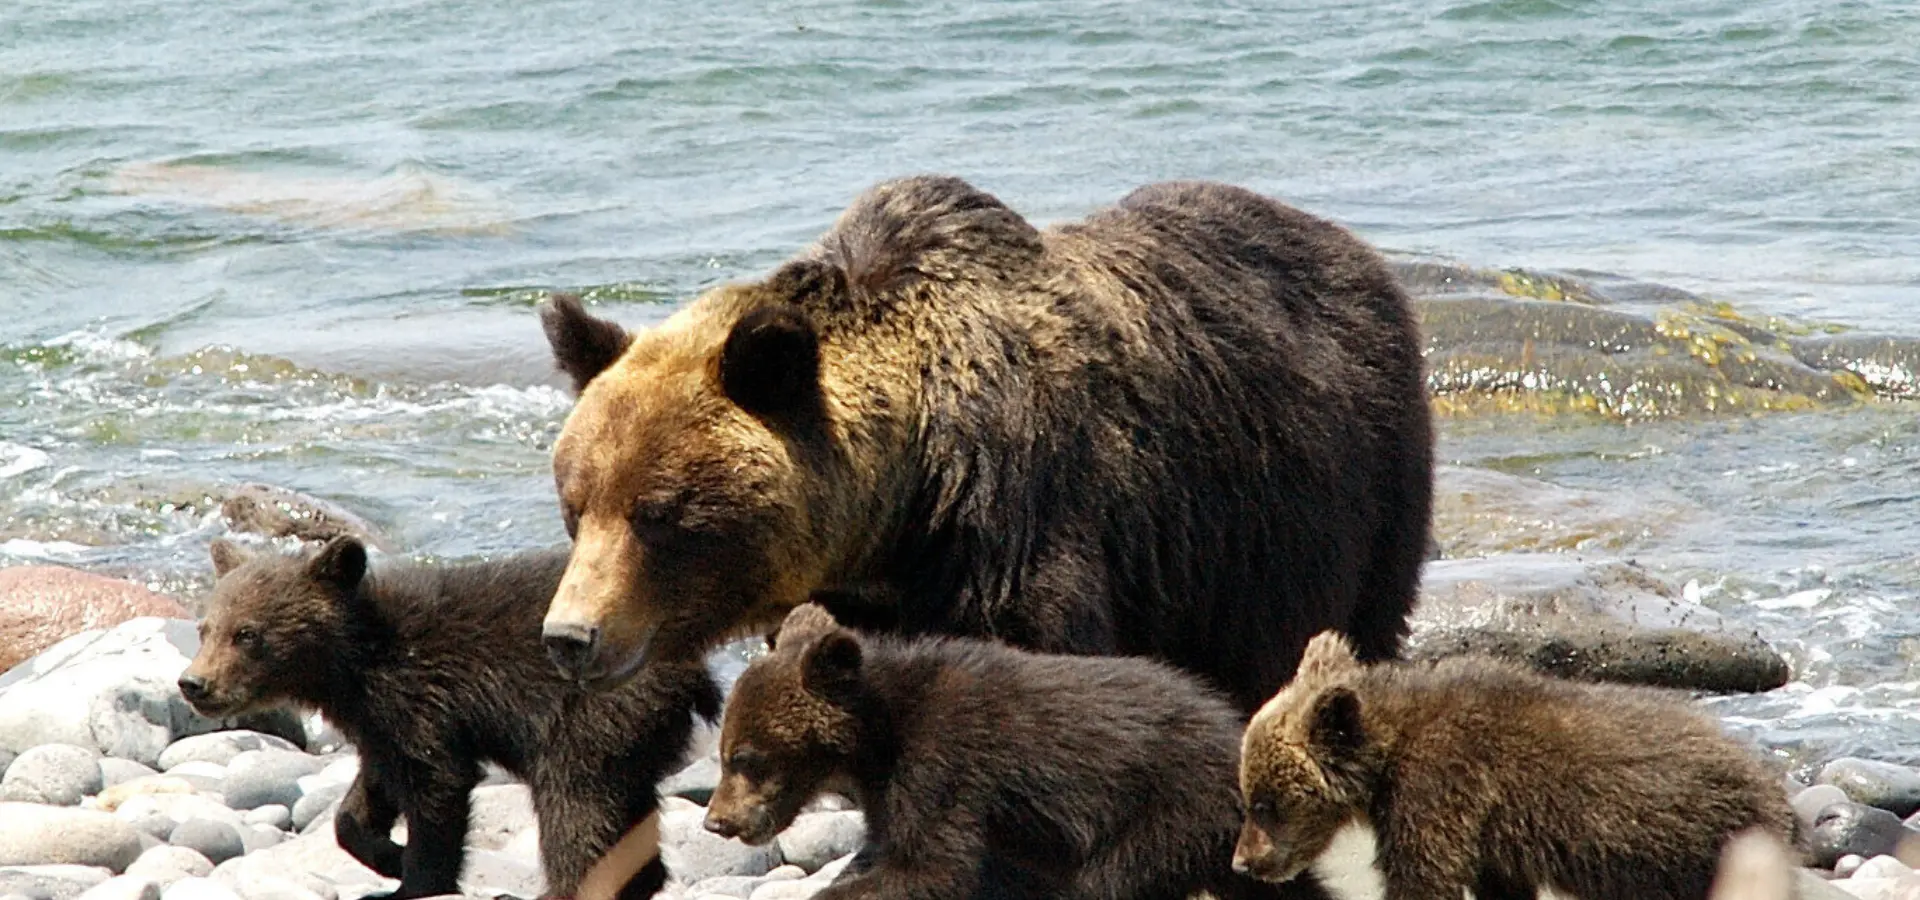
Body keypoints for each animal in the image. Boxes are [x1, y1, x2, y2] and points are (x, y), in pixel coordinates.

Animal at [176, 536, 721, 900]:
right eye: (206, 628)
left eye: (247, 634)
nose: (193, 683)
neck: (354, 664)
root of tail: (693, 670)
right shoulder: (381, 721)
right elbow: (370, 789)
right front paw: (384, 853)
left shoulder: (424, 698)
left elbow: (437, 786)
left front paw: (415, 878)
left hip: (588, 718)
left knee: (574, 804)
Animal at [535, 174, 1433, 715]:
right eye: (576, 507)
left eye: (659, 514)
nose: (570, 636)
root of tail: (1353, 249)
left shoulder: (1020, 518)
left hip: (1331, 493)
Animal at [701, 602, 1302, 900]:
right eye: (728, 751)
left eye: (744, 758)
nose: (716, 821)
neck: (877, 741)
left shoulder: (942, 766)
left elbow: (936, 866)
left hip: (1165, 813)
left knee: (1108, 882)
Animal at [1234, 630, 1798, 900]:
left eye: (1263, 803)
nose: (1243, 861)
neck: (1389, 753)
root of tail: (1770, 786)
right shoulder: (1490, 839)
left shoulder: (1437, 791)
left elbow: (1423, 878)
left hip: (1696, 849)